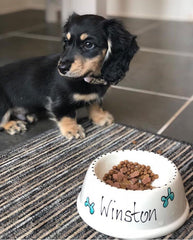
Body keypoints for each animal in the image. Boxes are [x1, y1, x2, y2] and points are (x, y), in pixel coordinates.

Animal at [0, 13, 139, 140]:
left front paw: (100, 117)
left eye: (88, 44)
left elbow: (95, 104)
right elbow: (67, 115)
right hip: (3, 103)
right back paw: (13, 125)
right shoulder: (60, 102)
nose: (61, 68)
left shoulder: (95, 97)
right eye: (66, 42)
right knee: (2, 121)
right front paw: (72, 129)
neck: (88, 79)